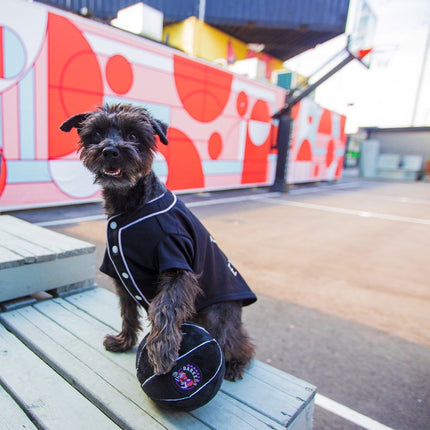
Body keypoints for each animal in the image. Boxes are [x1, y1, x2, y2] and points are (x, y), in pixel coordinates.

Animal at [60, 104, 255, 380]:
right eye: (96, 134)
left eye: (133, 135)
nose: (110, 151)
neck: (131, 205)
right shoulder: (121, 271)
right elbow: (128, 310)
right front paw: (124, 341)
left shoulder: (176, 263)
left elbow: (164, 307)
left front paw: (162, 351)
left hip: (217, 314)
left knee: (236, 339)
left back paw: (235, 363)